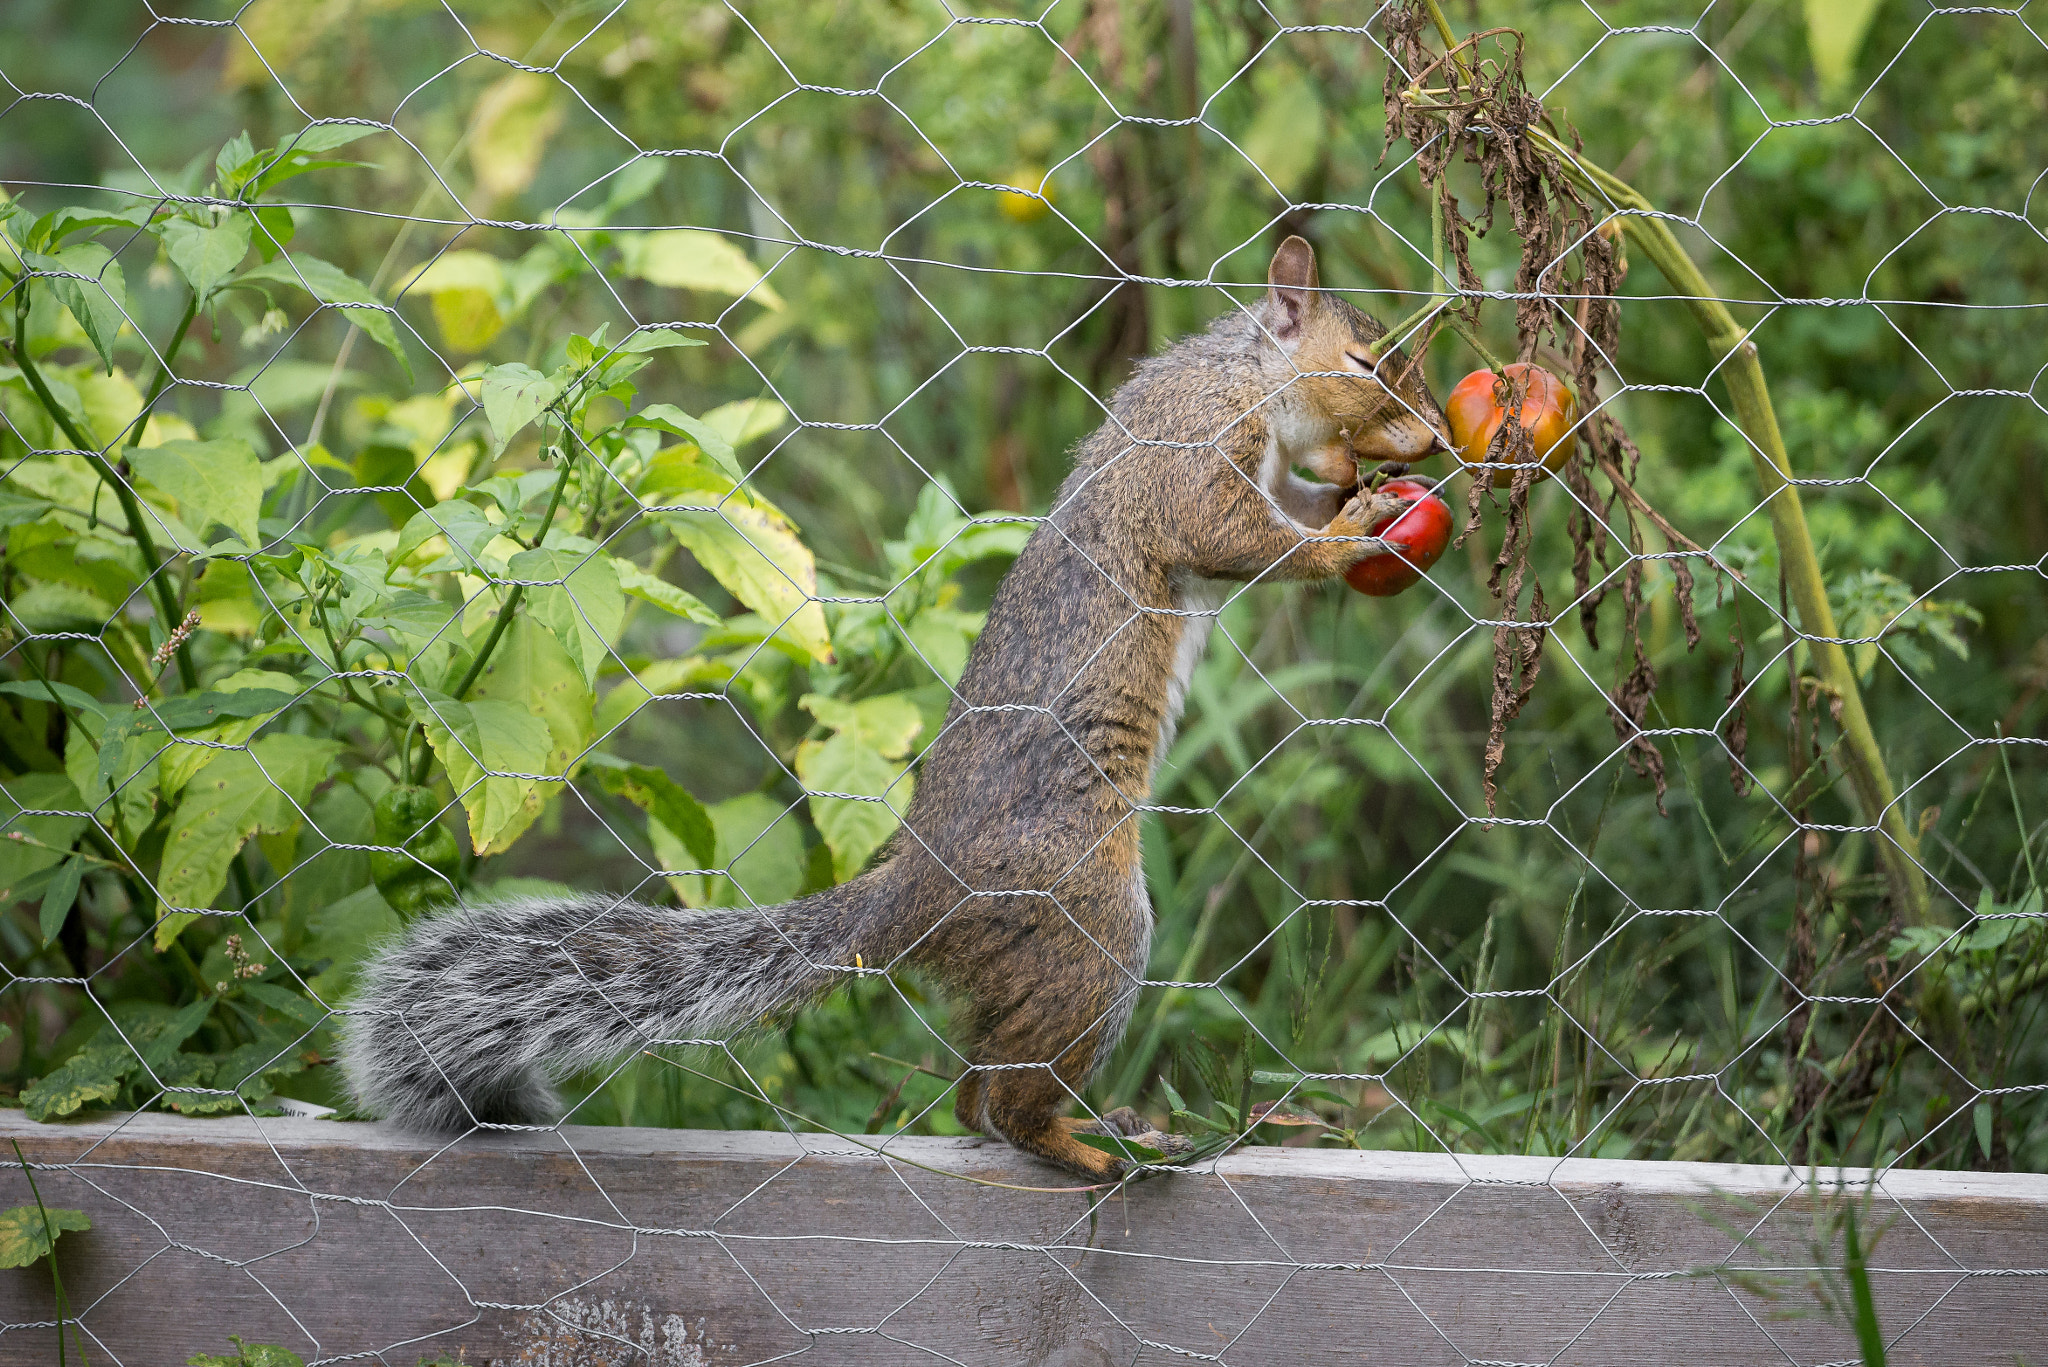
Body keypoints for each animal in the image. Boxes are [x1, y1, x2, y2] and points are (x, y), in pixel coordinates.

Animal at [339, 237, 1458, 1188]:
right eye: (1365, 358)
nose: (1439, 438)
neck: (1241, 376)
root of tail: (917, 894)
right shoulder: (1184, 452)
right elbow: (1234, 535)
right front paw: (1359, 521)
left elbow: (1280, 520)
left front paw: (1357, 495)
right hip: (1083, 927)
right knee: (1004, 1104)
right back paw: (1090, 1150)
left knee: (974, 1095)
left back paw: (1099, 1127)